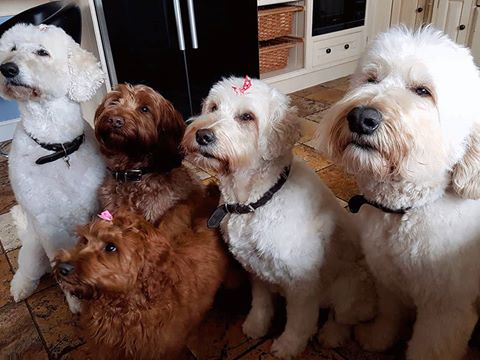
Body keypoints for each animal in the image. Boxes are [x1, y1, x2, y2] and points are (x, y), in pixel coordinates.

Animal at [0, 23, 105, 312]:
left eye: (42, 52)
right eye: (12, 48)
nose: (7, 68)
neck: (57, 147)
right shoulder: (47, 224)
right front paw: (77, 303)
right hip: (34, 248)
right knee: (27, 269)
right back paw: (20, 288)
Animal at [182, 77, 376, 358]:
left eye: (247, 117)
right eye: (213, 107)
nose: (202, 135)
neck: (255, 201)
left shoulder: (302, 281)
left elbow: (299, 322)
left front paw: (288, 347)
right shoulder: (254, 267)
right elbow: (260, 302)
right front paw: (256, 325)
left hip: (350, 288)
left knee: (342, 318)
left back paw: (331, 335)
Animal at [316, 26, 480, 360]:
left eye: (422, 91)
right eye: (371, 78)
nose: (361, 118)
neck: (406, 210)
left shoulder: (447, 308)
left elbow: (429, 347)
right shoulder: (388, 279)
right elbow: (389, 314)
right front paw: (376, 338)